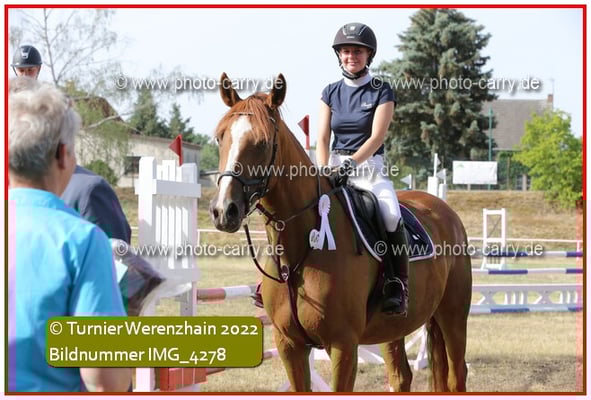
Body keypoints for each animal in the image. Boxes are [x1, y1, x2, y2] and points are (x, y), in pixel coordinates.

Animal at [209, 72, 472, 392]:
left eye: (262, 142)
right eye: (221, 137)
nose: (224, 210)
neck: (298, 254)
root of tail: (443, 208)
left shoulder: (343, 344)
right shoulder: (289, 345)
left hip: (453, 316)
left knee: (457, 375)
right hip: (393, 327)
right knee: (401, 377)